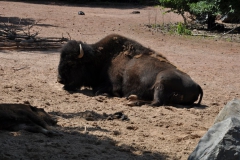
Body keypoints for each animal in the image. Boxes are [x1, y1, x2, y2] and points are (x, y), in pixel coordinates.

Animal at [57, 33, 202, 106]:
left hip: (162, 80)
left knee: (156, 102)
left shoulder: (113, 85)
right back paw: (132, 98)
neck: (101, 58)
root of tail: (198, 85)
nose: (60, 80)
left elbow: (99, 91)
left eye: (72, 63)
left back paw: (132, 100)